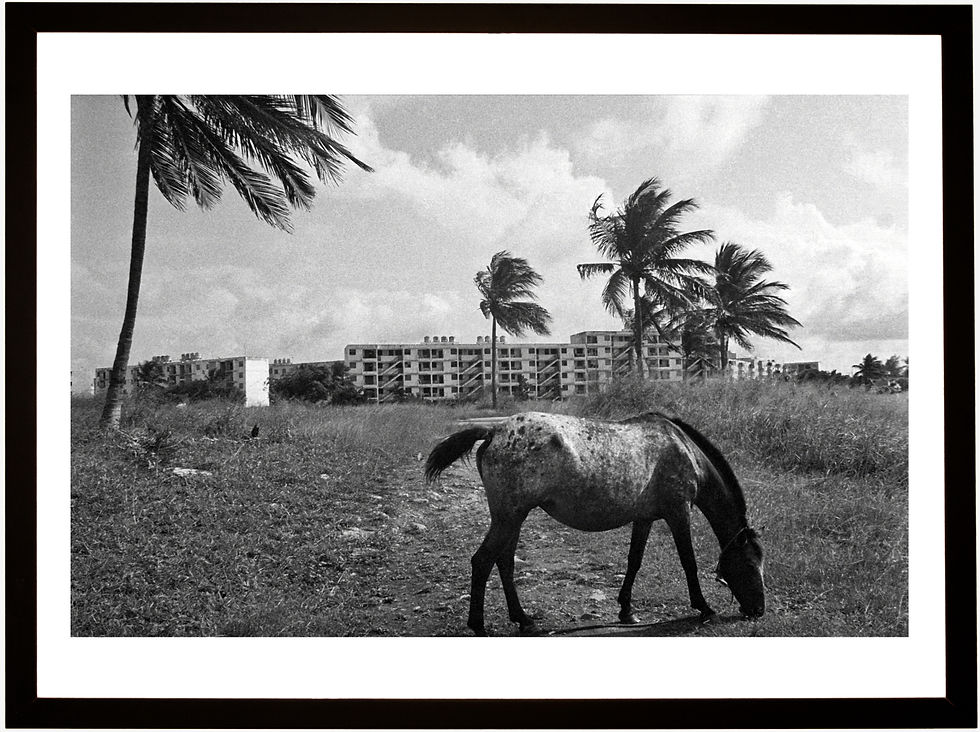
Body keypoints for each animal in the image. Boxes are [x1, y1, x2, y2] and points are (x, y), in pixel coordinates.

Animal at [424, 411, 765, 636]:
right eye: (750, 565)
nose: (758, 610)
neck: (683, 449)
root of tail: (494, 432)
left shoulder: (644, 518)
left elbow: (634, 561)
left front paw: (626, 610)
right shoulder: (678, 512)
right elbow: (688, 563)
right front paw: (704, 607)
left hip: (512, 517)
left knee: (504, 562)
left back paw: (523, 618)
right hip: (509, 517)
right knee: (483, 561)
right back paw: (480, 626)